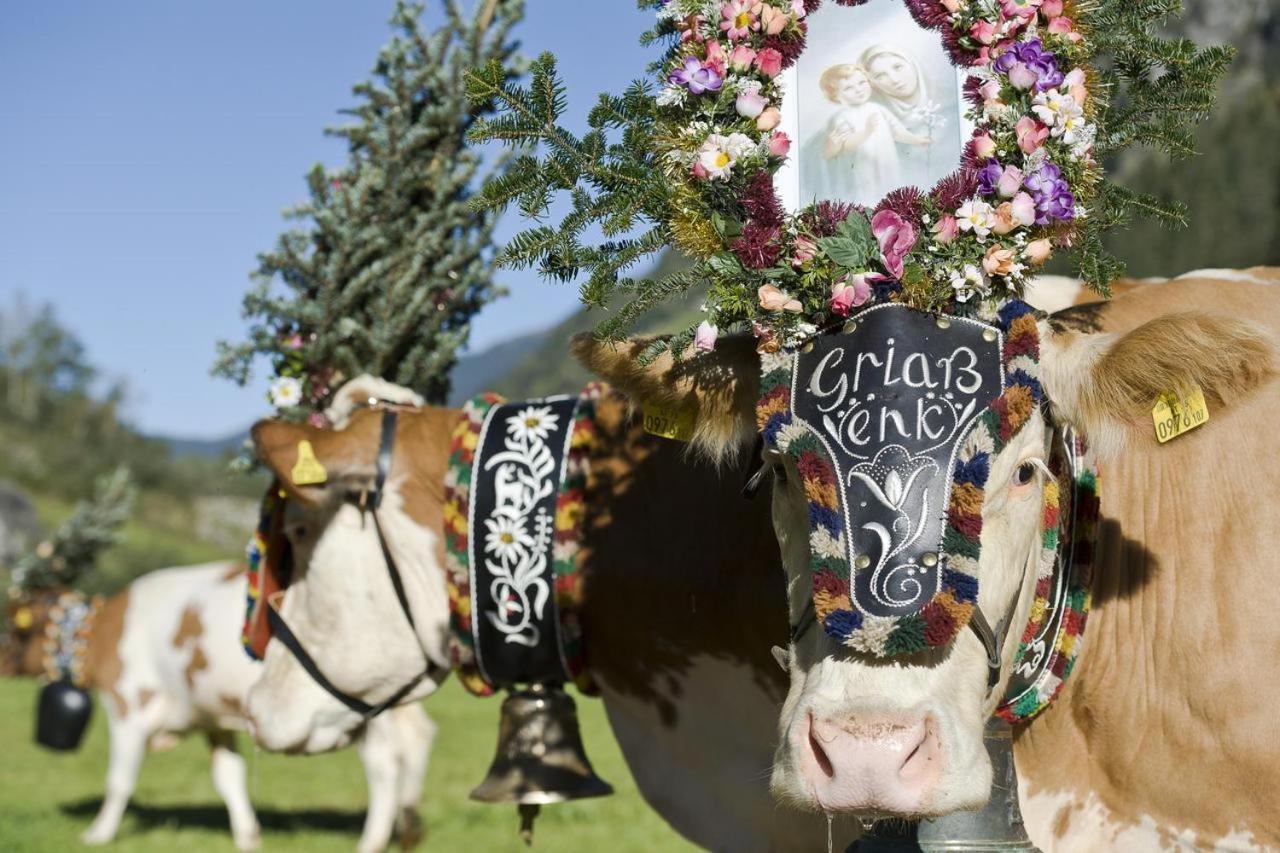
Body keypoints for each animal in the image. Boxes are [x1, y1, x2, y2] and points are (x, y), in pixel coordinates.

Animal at [2, 558, 435, 850]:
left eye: (10, 624)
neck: (102, 632)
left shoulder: (129, 706)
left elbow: (119, 780)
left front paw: (98, 834)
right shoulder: (213, 718)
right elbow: (229, 777)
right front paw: (247, 835)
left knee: (384, 764)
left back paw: (373, 841)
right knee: (418, 738)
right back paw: (409, 829)